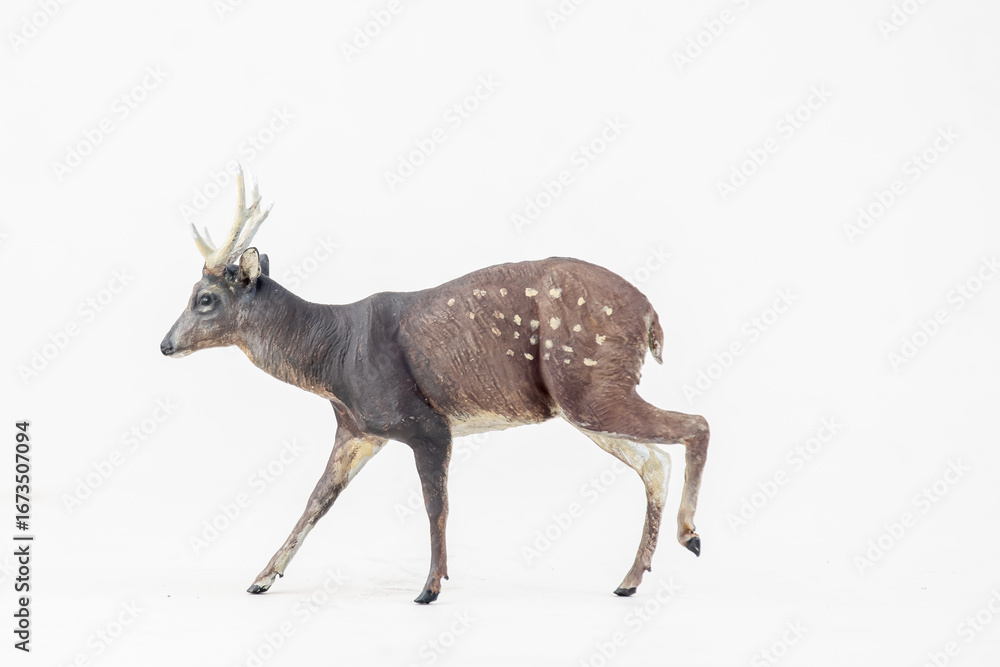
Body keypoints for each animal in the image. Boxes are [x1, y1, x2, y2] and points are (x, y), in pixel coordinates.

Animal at [161, 164, 710, 604]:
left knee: (696, 424)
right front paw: (261, 578)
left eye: (205, 298)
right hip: (585, 400)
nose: (165, 344)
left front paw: (429, 587)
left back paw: (690, 536)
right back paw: (630, 579)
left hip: (592, 381)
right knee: (655, 462)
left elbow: (434, 504)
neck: (334, 356)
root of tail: (651, 316)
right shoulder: (357, 430)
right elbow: (316, 500)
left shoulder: (426, 423)